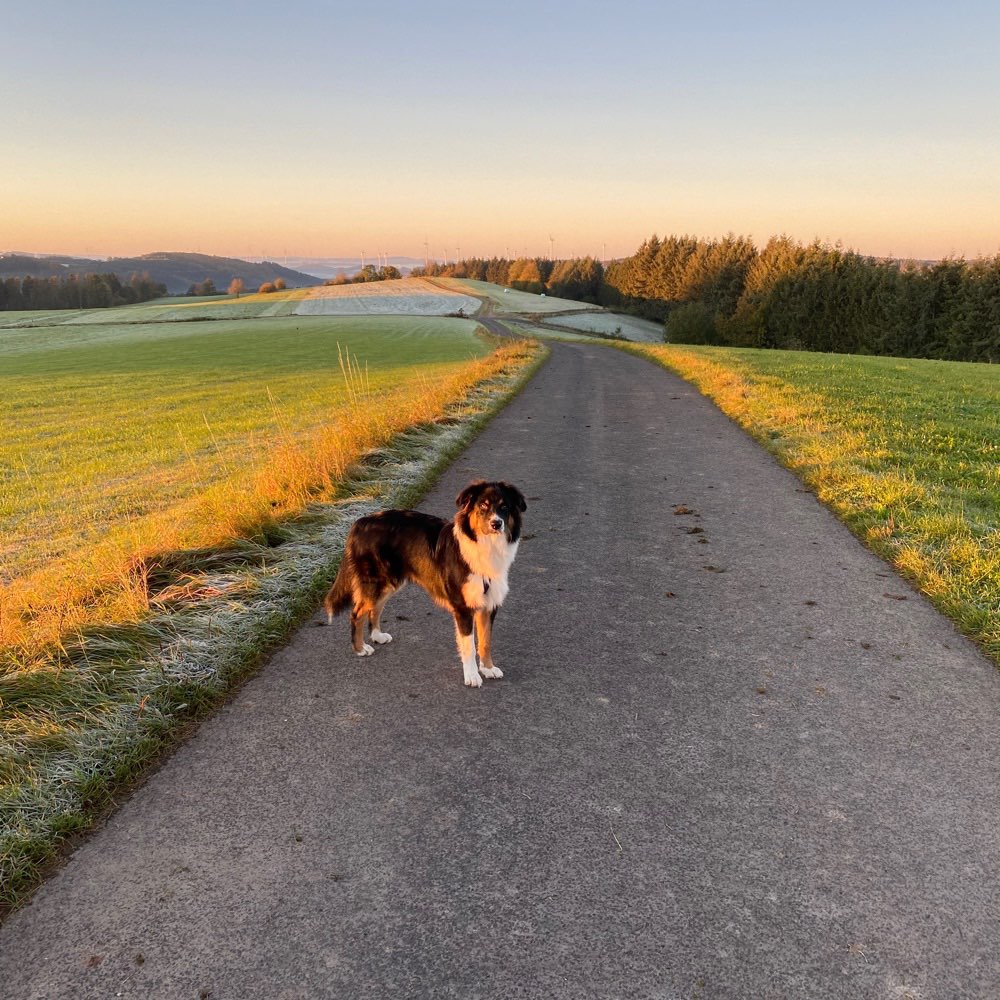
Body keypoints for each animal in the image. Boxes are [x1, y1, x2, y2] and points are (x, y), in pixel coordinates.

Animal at [324, 478, 528, 684]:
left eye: (504, 507)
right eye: (483, 506)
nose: (496, 524)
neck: (485, 545)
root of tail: (360, 522)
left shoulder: (488, 603)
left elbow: (485, 641)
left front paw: (488, 668)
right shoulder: (463, 607)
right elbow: (469, 645)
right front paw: (472, 675)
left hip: (390, 581)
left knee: (375, 607)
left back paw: (377, 635)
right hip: (375, 581)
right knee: (356, 613)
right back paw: (360, 648)